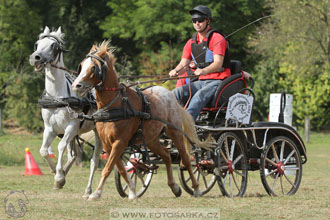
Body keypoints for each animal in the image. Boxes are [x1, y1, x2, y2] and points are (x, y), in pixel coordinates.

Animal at [29, 26, 102, 199]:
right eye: (37, 44)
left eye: (53, 46)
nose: (36, 58)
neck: (57, 97)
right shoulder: (50, 128)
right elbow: (44, 150)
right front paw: (57, 174)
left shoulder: (71, 127)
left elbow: (61, 146)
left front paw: (59, 177)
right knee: (73, 155)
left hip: (98, 131)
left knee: (95, 160)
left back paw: (88, 190)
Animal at [72, 40, 211, 200]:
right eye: (82, 65)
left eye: (94, 67)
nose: (76, 85)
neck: (115, 104)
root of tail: (170, 95)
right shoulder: (108, 144)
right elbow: (120, 168)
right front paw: (132, 190)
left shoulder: (120, 142)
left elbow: (108, 168)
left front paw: (96, 193)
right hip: (152, 139)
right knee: (166, 155)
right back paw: (174, 187)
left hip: (174, 131)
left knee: (186, 159)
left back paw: (197, 189)